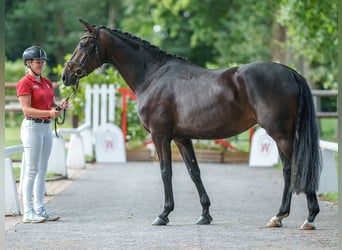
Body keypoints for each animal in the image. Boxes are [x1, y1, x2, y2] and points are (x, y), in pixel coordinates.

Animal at [62, 20, 322, 230]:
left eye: (83, 44)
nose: (66, 76)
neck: (152, 75)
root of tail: (291, 73)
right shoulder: (182, 138)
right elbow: (194, 172)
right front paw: (205, 214)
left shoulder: (160, 135)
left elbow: (165, 171)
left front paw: (164, 214)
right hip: (281, 135)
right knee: (288, 170)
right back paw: (279, 216)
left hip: (281, 134)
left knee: (298, 167)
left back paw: (308, 217)